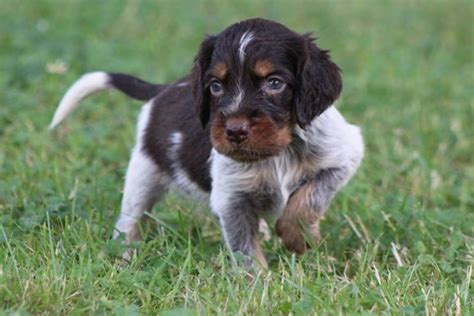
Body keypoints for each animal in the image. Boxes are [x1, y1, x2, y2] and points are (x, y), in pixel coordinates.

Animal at [50, 18, 364, 268]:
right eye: (215, 86)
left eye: (274, 83)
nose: (234, 131)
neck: (277, 153)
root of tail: (163, 90)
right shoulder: (232, 198)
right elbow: (246, 251)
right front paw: (258, 286)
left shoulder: (343, 156)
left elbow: (309, 198)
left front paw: (297, 237)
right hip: (143, 173)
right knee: (128, 223)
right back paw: (124, 259)